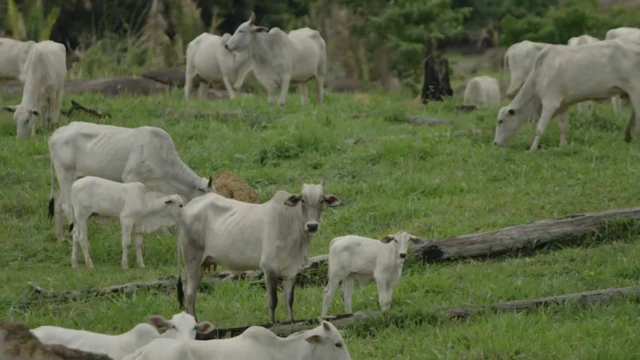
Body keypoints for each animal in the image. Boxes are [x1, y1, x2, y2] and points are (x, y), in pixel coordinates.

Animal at [47, 121, 216, 242]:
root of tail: (54, 135)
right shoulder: (130, 177)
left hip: (71, 179)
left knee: (58, 204)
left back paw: (60, 237)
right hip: (65, 175)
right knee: (66, 205)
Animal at [175, 177, 340, 324]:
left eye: (321, 200)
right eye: (303, 200)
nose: (312, 226)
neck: (292, 225)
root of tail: (186, 208)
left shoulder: (291, 271)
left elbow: (289, 301)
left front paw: (290, 321)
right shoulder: (269, 268)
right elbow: (273, 301)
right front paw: (272, 324)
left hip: (202, 263)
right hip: (192, 259)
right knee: (189, 292)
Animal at [496, 38, 640, 151]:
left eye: (500, 121)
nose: (495, 143)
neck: (540, 72)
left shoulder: (550, 102)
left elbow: (540, 127)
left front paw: (532, 149)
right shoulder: (563, 104)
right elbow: (563, 127)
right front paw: (562, 146)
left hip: (635, 90)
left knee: (637, 114)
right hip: (628, 92)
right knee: (633, 113)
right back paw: (627, 135)